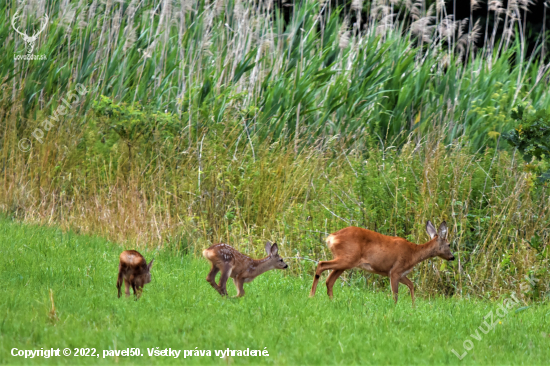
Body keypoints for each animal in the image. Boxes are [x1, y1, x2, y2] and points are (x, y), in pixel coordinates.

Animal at [310, 222, 458, 304]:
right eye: (449, 244)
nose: (452, 257)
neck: (413, 253)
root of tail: (331, 238)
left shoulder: (400, 274)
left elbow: (411, 285)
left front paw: (413, 306)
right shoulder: (395, 271)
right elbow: (395, 294)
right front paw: (395, 308)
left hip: (346, 262)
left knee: (329, 280)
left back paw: (331, 301)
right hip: (347, 258)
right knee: (321, 264)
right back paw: (311, 296)